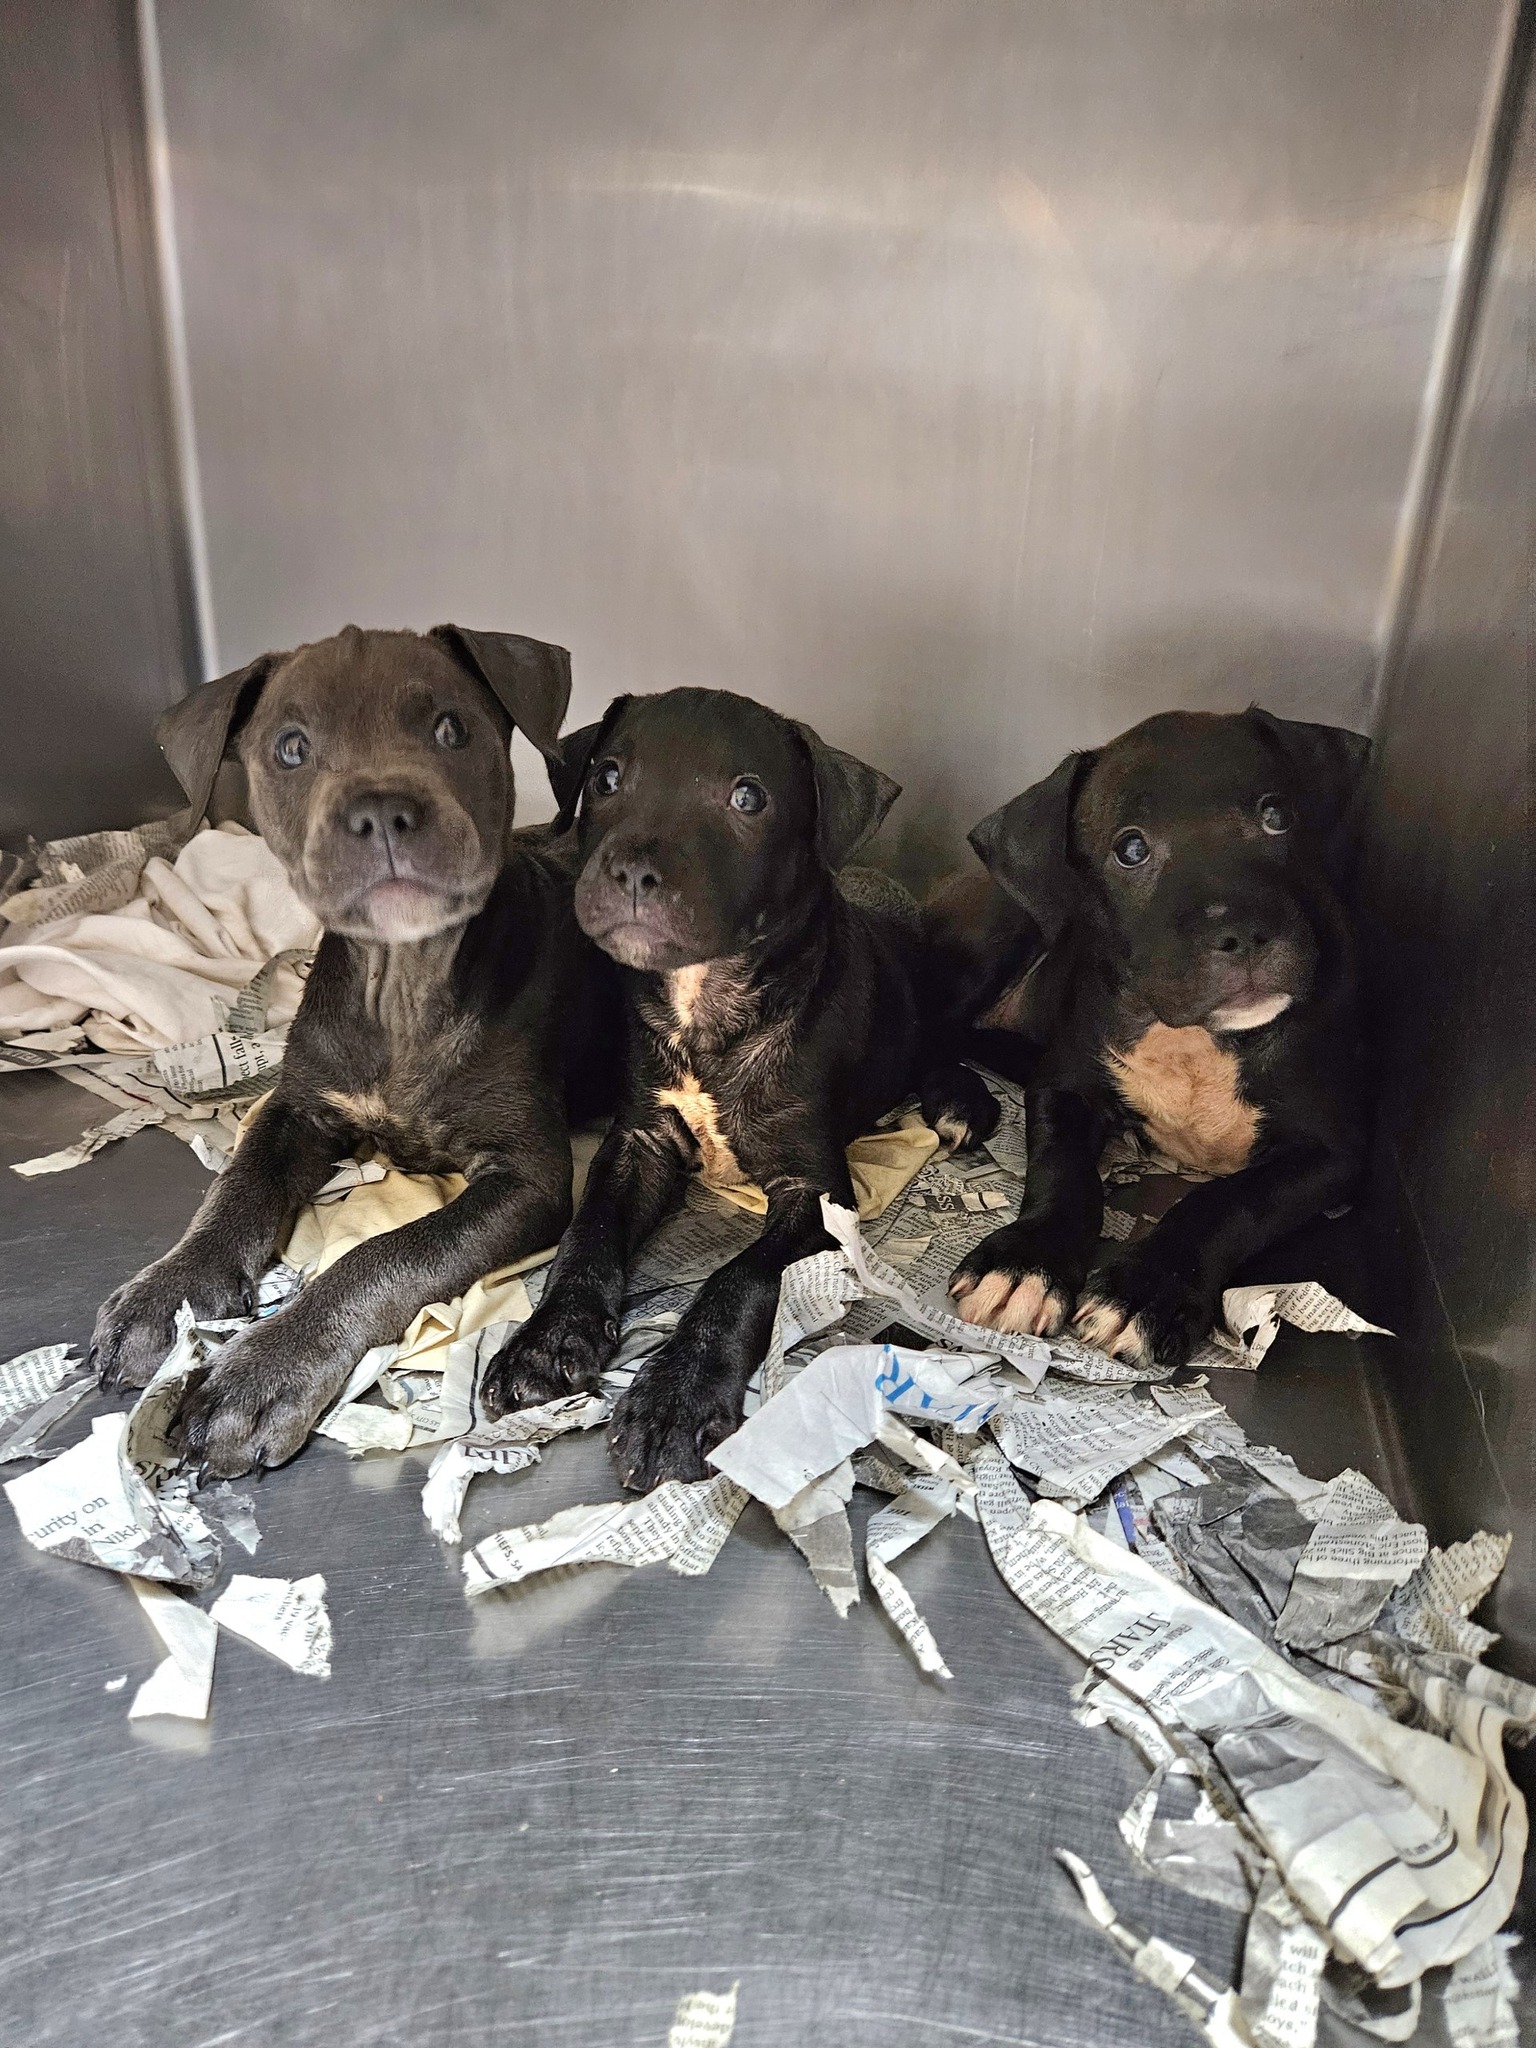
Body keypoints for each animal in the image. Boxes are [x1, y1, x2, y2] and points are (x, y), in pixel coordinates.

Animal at [90, 622, 618, 1474]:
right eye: (292, 748)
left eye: (451, 729)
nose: (381, 812)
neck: (401, 986)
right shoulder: (296, 1106)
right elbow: (236, 1185)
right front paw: (169, 1290)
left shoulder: (527, 1178)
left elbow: (387, 1255)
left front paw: (265, 1372)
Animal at [483, 688, 913, 1490]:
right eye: (607, 778)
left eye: (748, 798)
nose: (629, 872)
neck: (702, 1006)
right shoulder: (639, 1141)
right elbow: (587, 1233)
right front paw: (547, 1339)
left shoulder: (815, 1192)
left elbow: (740, 1279)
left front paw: (675, 1398)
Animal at [925, 712, 1368, 1368]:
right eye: (1130, 850)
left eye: (1276, 816)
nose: (1243, 933)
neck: (1197, 1041)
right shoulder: (1064, 1088)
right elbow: (1061, 1173)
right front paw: (1025, 1262)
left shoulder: (1332, 1150)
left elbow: (1228, 1201)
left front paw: (1147, 1290)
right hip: (1002, 930)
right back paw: (957, 1095)